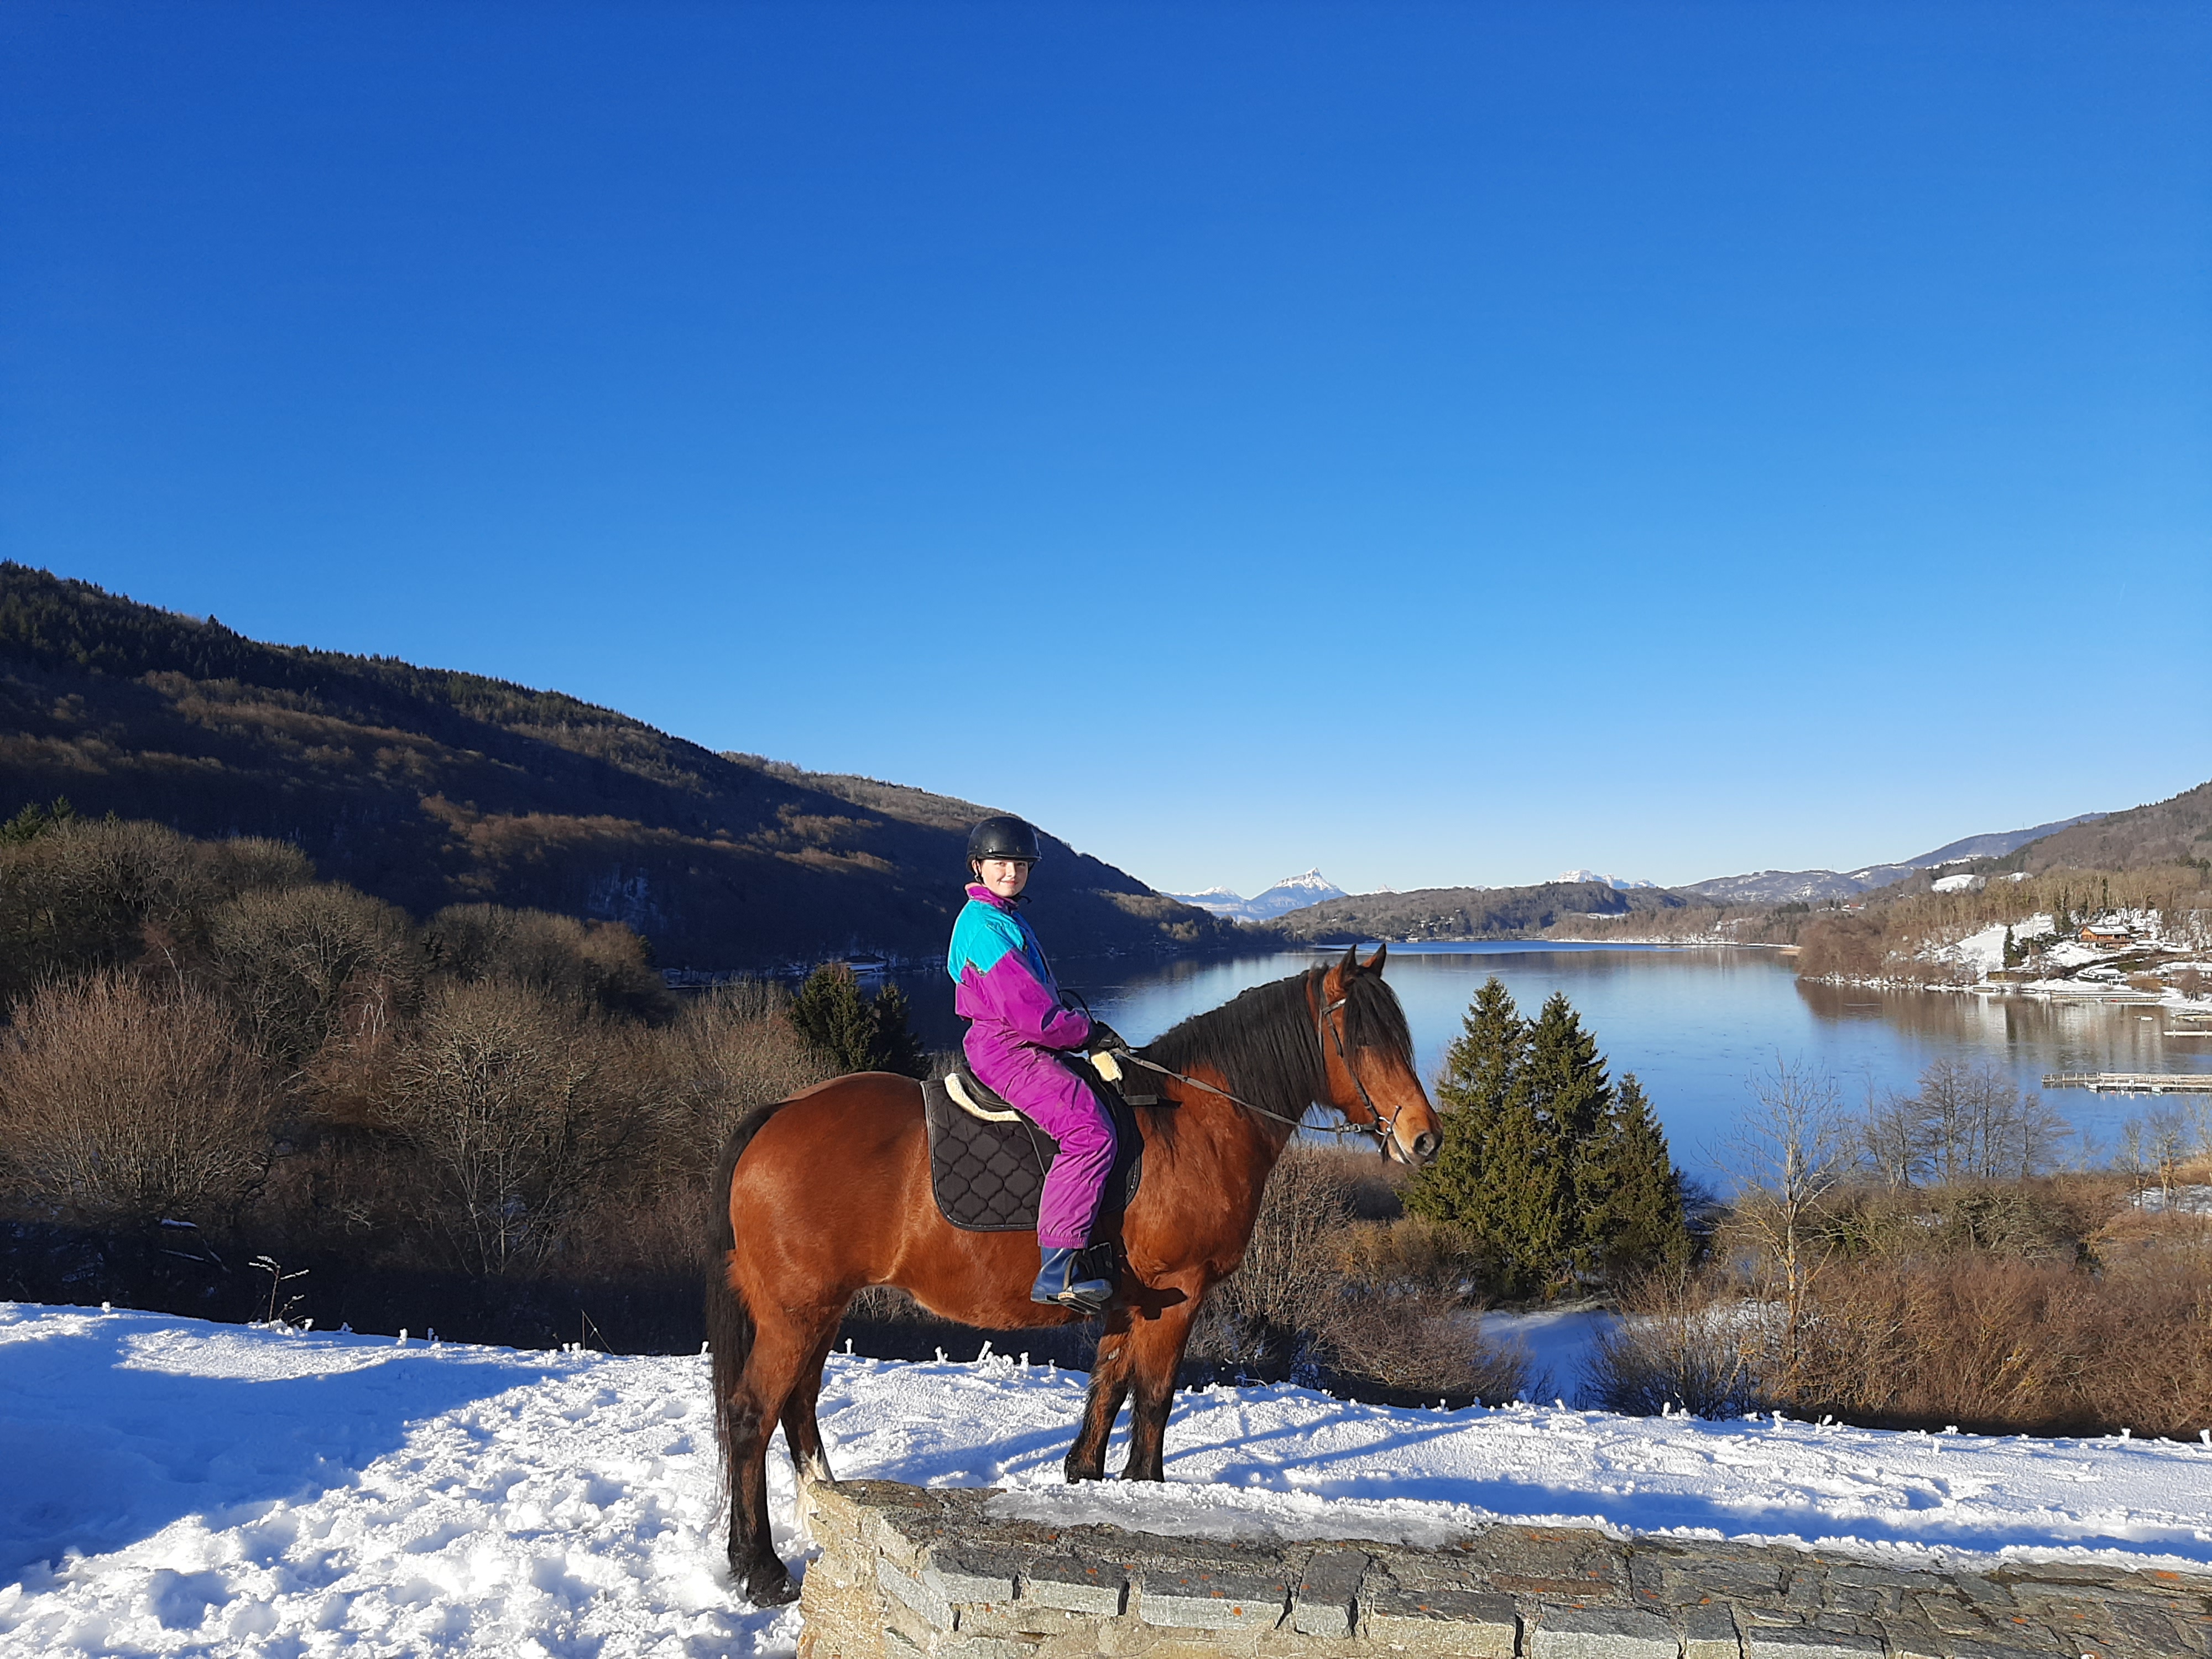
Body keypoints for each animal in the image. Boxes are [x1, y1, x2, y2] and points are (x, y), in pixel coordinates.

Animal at [704, 944, 1441, 1606]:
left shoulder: (1127, 1302)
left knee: (797, 1405)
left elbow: (1107, 1388)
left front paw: (1084, 1480)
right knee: (752, 1415)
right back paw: (761, 1569)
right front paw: (1146, 1492)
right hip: (796, 1311)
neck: (1196, 1125)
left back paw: (823, 1501)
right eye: (1363, 1041)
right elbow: (1154, 1398)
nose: (1426, 1137)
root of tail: (778, 1113)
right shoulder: (1178, 1296)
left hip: (819, 1308)